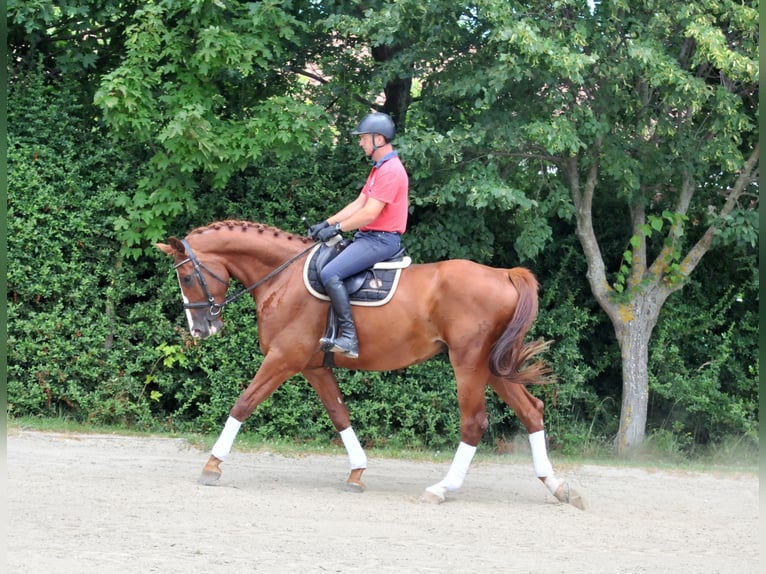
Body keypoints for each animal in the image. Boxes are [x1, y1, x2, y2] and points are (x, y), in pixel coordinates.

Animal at [158, 222, 588, 512]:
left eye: (186, 276)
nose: (200, 329)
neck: (284, 277)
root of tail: (503, 274)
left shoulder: (283, 358)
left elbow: (242, 404)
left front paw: (212, 465)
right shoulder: (314, 366)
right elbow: (339, 413)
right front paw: (357, 473)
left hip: (468, 363)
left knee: (474, 422)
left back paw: (442, 488)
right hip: (493, 367)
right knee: (531, 410)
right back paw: (556, 485)